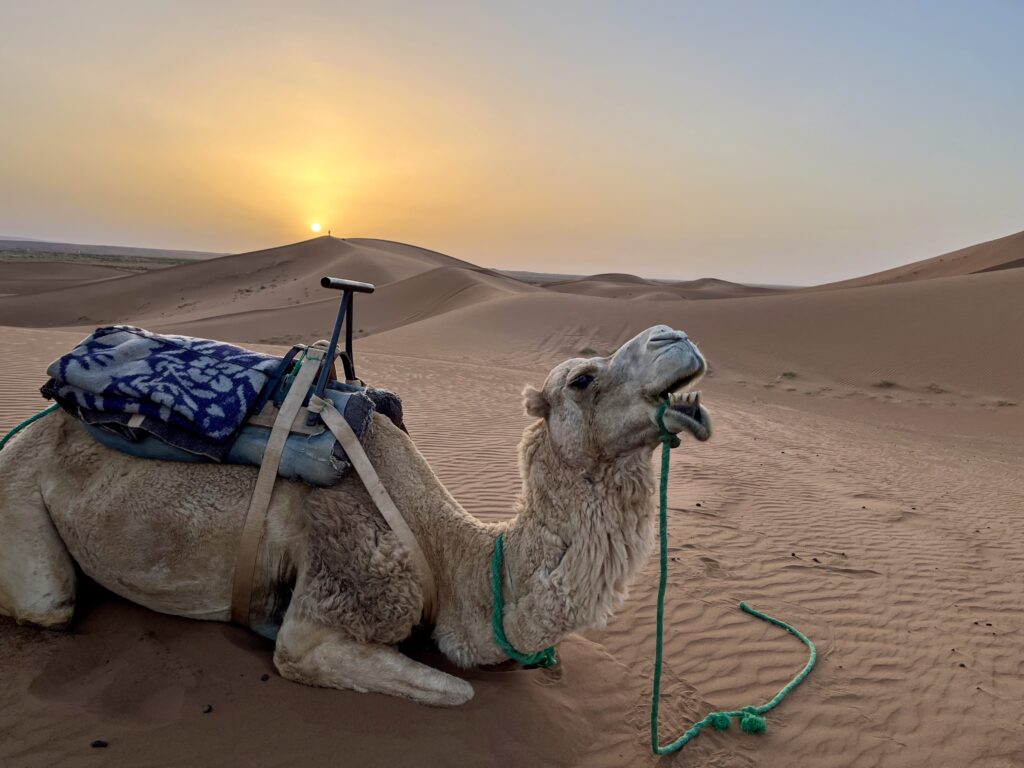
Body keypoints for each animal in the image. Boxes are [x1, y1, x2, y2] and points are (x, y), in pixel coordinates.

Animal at [0, 325, 710, 706]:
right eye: (581, 381)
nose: (675, 338)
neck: (456, 559)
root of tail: (26, 428)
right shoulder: (334, 607)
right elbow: (459, 688)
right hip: (20, 494)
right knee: (50, 600)